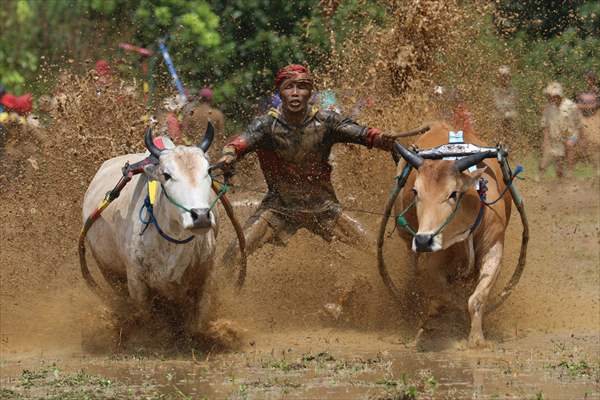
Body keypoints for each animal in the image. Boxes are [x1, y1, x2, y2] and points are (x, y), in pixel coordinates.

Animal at [82, 126, 218, 334]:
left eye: (208, 171)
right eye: (166, 175)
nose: (201, 216)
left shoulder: (206, 275)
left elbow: (198, 321)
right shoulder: (136, 282)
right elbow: (147, 320)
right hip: (108, 270)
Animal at [394, 122, 510, 346]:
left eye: (453, 193)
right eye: (415, 191)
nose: (423, 240)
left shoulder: (494, 248)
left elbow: (476, 299)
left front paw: (476, 339)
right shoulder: (434, 259)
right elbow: (444, 297)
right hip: (407, 239)